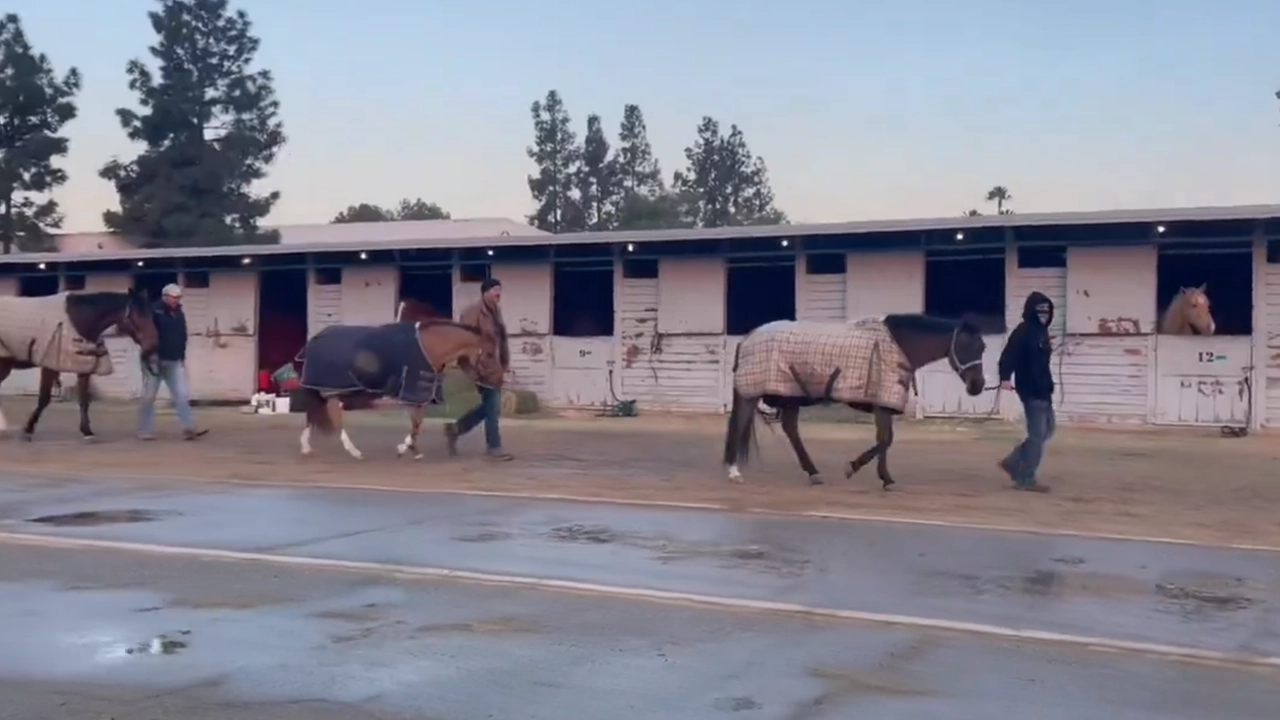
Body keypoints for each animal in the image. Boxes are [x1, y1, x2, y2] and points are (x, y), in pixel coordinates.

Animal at [0, 286, 158, 438]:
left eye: (151, 315)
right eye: (137, 315)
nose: (152, 346)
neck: (78, 318)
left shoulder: (83, 366)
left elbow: (83, 399)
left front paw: (87, 431)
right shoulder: (49, 365)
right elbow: (44, 398)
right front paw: (28, 429)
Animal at [293, 317, 488, 458]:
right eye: (489, 353)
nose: (485, 380)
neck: (428, 346)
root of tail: (315, 340)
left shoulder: (419, 395)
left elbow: (418, 424)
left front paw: (412, 449)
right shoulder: (412, 393)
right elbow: (416, 423)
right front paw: (404, 448)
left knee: (314, 413)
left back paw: (306, 447)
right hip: (332, 389)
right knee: (334, 416)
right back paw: (354, 451)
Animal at [721, 313, 988, 486]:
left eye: (982, 347)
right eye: (965, 345)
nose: (978, 386)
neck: (896, 345)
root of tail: (748, 337)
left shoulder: (884, 403)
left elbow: (884, 440)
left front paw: (885, 478)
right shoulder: (882, 403)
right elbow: (885, 440)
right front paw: (854, 468)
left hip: (790, 394)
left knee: (790, 429)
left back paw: (813, 472)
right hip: (751, 392)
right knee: (741, 423)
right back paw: (734, 471)